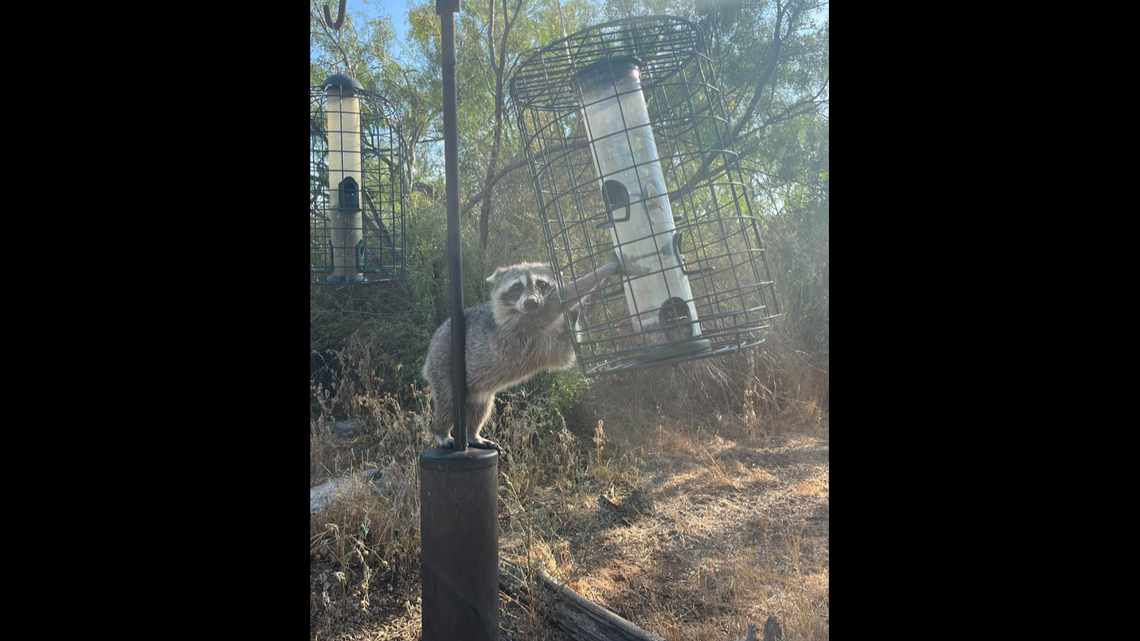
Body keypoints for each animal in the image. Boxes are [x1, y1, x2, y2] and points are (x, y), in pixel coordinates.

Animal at [421, 261, 619, 451]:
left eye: (541, 284)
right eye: (516, 287)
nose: (531, 302)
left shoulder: (547, 344)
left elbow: (565, 354)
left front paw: (576, 313)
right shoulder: (515, 328)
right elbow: (555, 304)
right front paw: (601, 273)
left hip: (475, 389)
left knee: (480, 407)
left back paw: (472, 434)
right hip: (442, 361)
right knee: (448, 403)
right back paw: (441, 432)